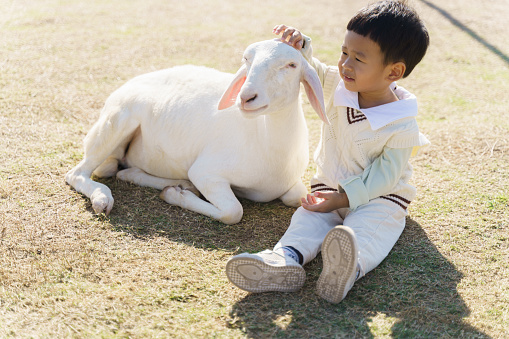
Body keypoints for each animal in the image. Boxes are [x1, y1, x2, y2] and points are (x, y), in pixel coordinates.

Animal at [65, 39, 328, 226]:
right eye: (246, 59)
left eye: (292, 65)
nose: (246, 97)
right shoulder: (206, 172)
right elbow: (233, 212)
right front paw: (176, 197)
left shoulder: (292, 184)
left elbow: (296, 196)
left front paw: (177, 191)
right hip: (116, 123)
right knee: (77, 173)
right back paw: (103, 198)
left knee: (121, 171)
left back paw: (173, 183)